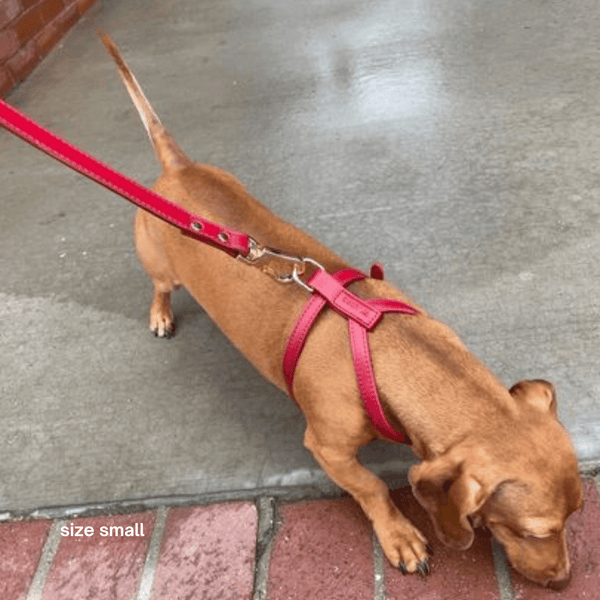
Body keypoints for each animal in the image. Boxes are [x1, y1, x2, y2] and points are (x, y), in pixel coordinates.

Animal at [101, 34, 584, 592]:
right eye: (529, 531)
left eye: (577, 512)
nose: (563, 581)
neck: (384, 344)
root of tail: (178, 169)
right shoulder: (326, 448)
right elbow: (372, 485)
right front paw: (400, 536)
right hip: (159, 266)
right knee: (159, 288)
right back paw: (160, 314)